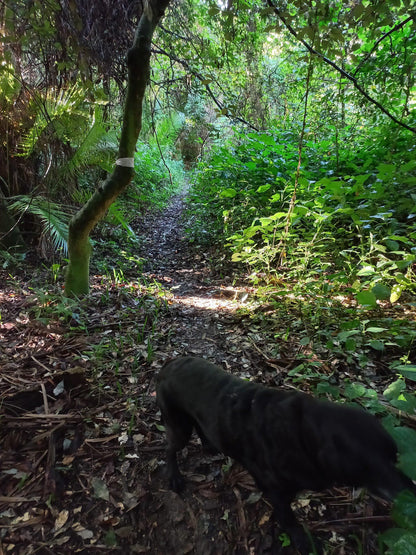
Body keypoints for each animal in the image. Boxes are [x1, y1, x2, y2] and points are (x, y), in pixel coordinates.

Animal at [156, 358, 416, 552]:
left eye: (395, 457)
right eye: (370, 465)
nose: (410, 493)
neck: (303, 435)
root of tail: (169, 364)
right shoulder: (277, 493)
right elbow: (289, 519)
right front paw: (302, 540)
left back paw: (209, 445)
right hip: (178, 427)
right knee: (169, 450)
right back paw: (174, 477)